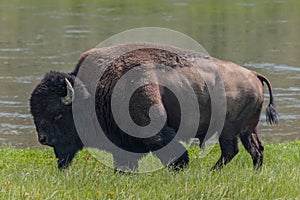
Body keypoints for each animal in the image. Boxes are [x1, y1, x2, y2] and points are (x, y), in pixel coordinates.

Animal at [29, 43, 278, 171]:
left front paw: (179, 169)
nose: (43, 138)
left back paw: (212, 172)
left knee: (232, 150)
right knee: (254, 149)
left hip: (229, 131)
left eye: (58, 114)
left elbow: (172, 151)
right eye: (35, 113)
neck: (96, 91)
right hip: (247, 130)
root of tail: (253, 74)